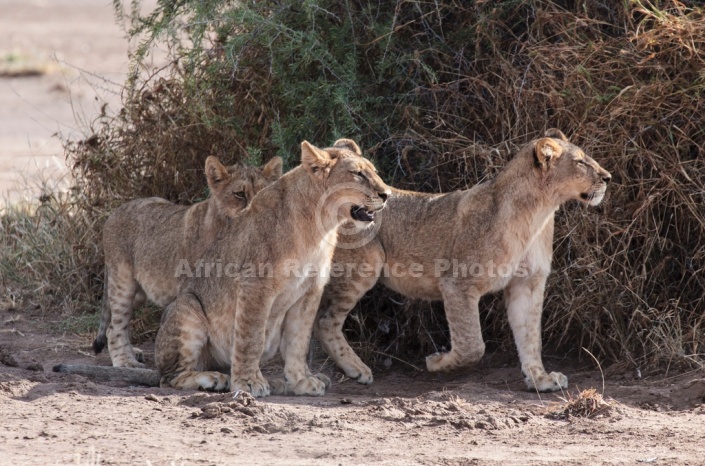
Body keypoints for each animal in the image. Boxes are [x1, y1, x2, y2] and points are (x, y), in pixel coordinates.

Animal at [96, 157, 284, 368]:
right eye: (239, 194)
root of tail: (114, 212)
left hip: (139, 293)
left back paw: (134, 353)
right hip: (122, 282)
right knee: (115, 326)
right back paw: (125, 361)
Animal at [316, 129, 608, 392]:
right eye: (581, 162)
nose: (608, 177)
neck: (538, 214)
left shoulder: (527, 283)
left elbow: (530, 336)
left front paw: (540, 379)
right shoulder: (457, 283)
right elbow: (472, 345)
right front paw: (437, 362)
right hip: (365, 265)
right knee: (325, 321)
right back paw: (355, 369)